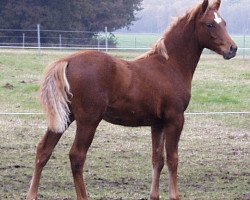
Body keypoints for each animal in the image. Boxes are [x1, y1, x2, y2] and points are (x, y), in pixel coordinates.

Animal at [26, 0, 236, 199]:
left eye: (224, 22)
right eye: (209, 24)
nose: (232, 49)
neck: (169, 66)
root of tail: (67, 60)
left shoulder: (157, 123)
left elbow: (157, 159)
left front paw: (154, 195)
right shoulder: (175, 119)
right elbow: (173, 159)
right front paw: (175, 195)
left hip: (65, 117)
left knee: (43, 150)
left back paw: (32, 194)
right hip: (88, 120)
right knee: (76, 156)